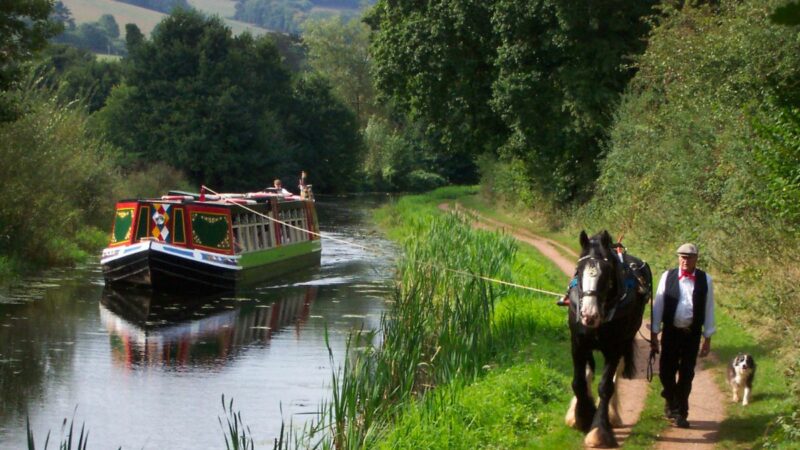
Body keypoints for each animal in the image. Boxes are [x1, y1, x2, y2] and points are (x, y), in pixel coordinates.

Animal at [564, 230, 652, 448]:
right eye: (578, 270)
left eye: (606, 273)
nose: (589, 315)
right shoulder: (578, 344)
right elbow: (578, 382)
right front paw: (581, 416)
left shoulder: (615, 348)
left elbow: (605, 386)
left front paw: (598, 431)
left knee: (614, 377)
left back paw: (612, 415)